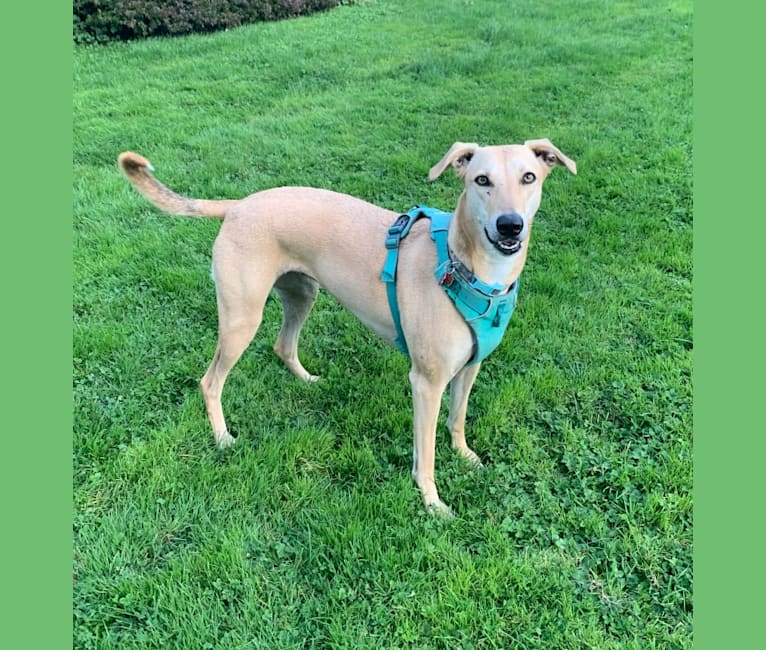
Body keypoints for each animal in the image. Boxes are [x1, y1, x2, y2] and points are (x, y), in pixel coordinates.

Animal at [118, 139, 576, 512]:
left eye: (529, 177)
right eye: (481, 180)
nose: (510, 224)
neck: (465, 267)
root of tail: (239, 204)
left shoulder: (469, 366)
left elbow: (458, 419)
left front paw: (464, 455)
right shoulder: (426, 382)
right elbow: (425, 455)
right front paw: (432, 502)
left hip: (302, 294)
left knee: (283, 346)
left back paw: (305, 379)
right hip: (241, 319)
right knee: (210, 381)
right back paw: (222, 437)